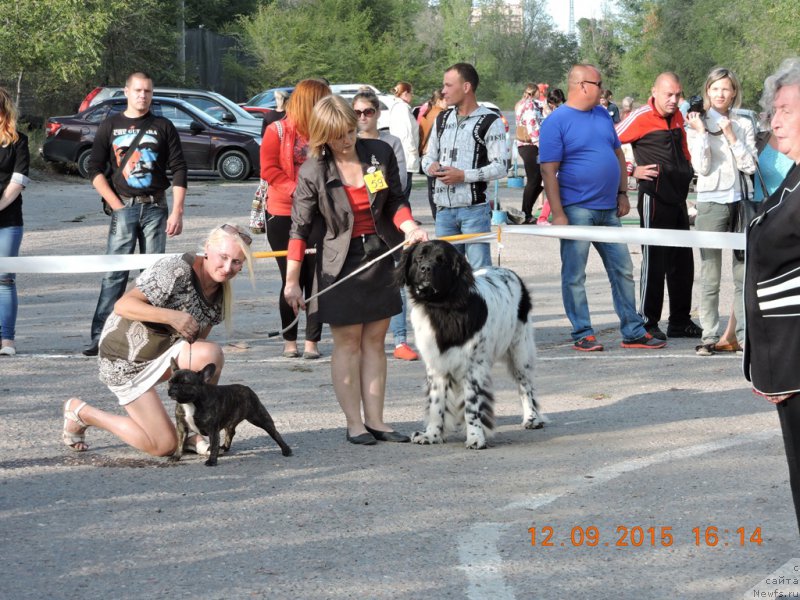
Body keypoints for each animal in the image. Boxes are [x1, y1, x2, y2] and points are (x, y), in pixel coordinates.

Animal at [396, 239, 548, 450]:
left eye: (442, 260)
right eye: (419, 257)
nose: (425, 268)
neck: (442, 308)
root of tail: (505, 269)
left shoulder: (473, 367)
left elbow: (472, 405)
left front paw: (476, 437)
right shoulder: (437, 365)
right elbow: (436, 404)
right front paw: (432, 435)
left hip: (520, 350)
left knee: (525, 386)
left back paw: (532, 418)